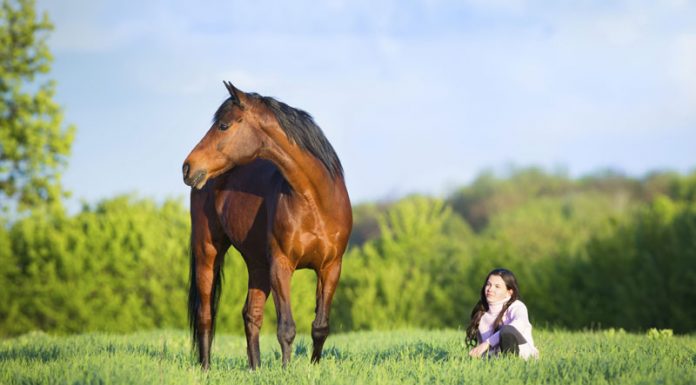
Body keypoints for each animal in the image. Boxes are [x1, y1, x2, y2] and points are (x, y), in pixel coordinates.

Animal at [181, 82, 350, 368]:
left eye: (224, 125)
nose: (187, 167)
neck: (316, 201)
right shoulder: (281, 265)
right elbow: (286, 328)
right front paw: (286, 370)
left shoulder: (330, 268)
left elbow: (320, 327)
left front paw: (313, 368)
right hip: (208, 251)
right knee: (205, 315)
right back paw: (205, 369)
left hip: (257, 263)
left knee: (251, 314)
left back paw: (255, 368)